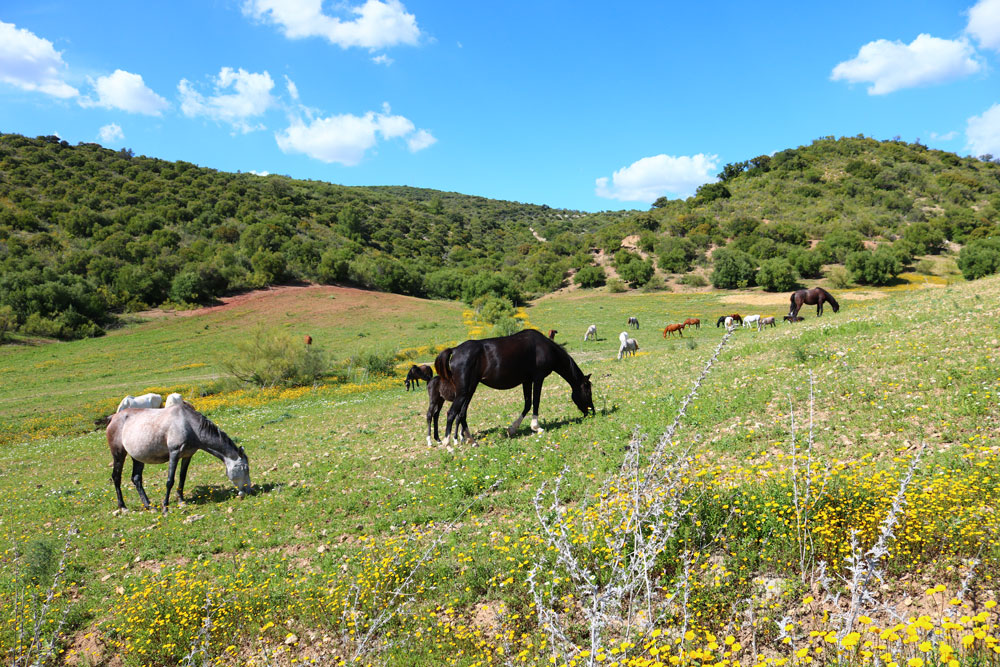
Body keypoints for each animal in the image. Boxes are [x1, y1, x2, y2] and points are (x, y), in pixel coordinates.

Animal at [105, 400, 250, 516]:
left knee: (136, 479)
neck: (187, 424)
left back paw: (149, 506)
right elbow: (170, 481)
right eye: (244, 468)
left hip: (138, 457)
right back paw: (123, 507)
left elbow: (182, 478)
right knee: (116, 477)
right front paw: (165, 507)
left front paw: (181, 501)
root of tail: (113, 418)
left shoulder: (187, 455)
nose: (248, 490)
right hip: (118, 455)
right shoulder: (174, 454)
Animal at [432, 328, 588, 444]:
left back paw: (470, 440)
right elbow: (535, 402)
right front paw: (536, 427)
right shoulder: (538, 379)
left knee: (461, 414)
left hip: (470, 389)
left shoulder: (527, 381)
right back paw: (450, 444)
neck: (544, 347)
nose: (590, 411)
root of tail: (455, 350)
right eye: (587, 389)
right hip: (464, 392)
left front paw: (513, 428)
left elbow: (528, 404)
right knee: (452, 413)